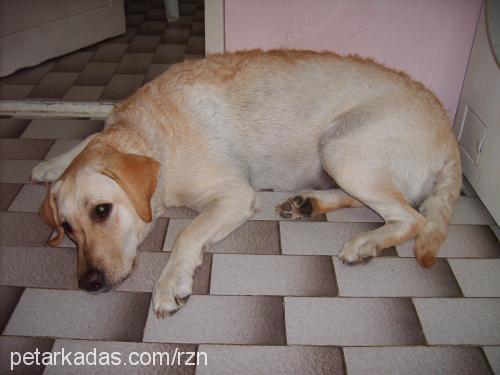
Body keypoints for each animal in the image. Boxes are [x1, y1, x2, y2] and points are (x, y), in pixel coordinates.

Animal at [31, 49, 460, 318]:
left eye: (102, 211)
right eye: (67, 228)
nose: (88, 283)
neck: (150, 136)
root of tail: (449, 133)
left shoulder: (235, 195)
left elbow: (187, 234)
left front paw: (170, 282)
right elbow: (89, 139)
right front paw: (51, 164)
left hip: (341, 147)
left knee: (412, 218)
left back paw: (365, 242)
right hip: (340, 157)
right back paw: (307, 203)